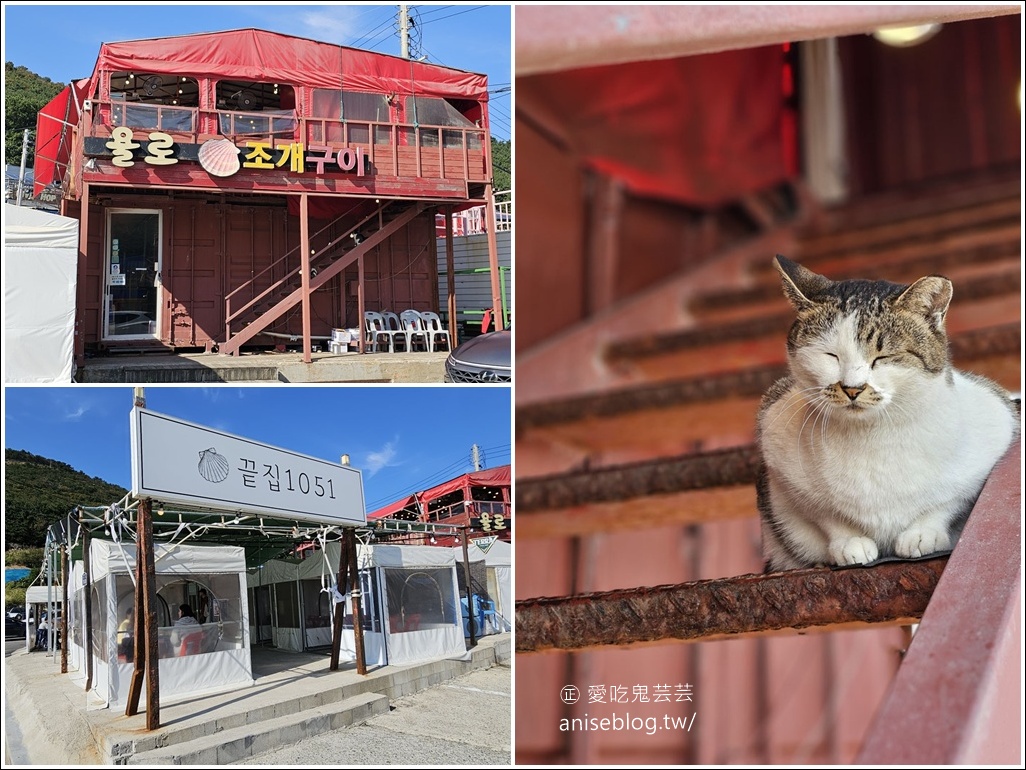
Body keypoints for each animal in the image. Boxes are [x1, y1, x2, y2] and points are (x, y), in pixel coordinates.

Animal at [755, 256, 1017, 570]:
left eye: (883, 357)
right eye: (830, 355)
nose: (852, 388)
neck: (871, 435)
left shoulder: (997, 425)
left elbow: (948, 502)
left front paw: (923, 533)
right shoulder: (779, 455)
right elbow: (826, 514)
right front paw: (850, 542)